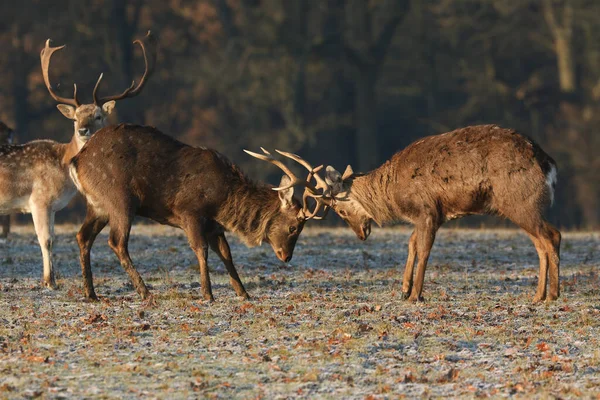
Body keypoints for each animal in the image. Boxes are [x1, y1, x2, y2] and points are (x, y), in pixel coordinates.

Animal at [0, 31, 157, 288]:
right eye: (75, 118)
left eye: (98, 116)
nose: (83, 130)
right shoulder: (38, 200)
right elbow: (46, 240)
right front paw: (50, 282)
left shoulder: (53, 207)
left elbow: (52, 238)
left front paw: (51, 280)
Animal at [252, 125, 564, 304]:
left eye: (340, 209)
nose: (361, 234)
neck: (393, 194)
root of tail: (549, 164)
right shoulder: (424, 216)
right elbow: (411, 244)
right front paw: (403, 290)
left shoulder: (428, 210)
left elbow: (423, 249)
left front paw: (415, 294)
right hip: (522, 205)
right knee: (543, 241)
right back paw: (539, 295)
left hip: (519, 201)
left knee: (552, 236)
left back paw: (551, 295)